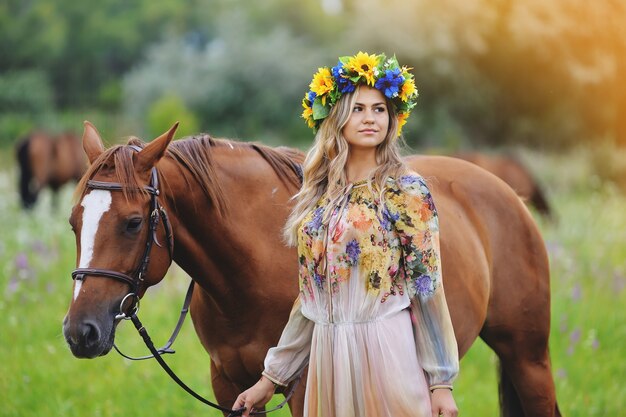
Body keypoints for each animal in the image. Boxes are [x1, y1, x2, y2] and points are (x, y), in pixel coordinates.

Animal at [63, 121, 560, 416]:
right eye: (73, 222)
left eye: (132, 223)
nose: (79, 332)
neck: (247, 270)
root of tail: (506, 192)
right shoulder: (230, 386)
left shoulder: (304, 388)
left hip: (528, 357)